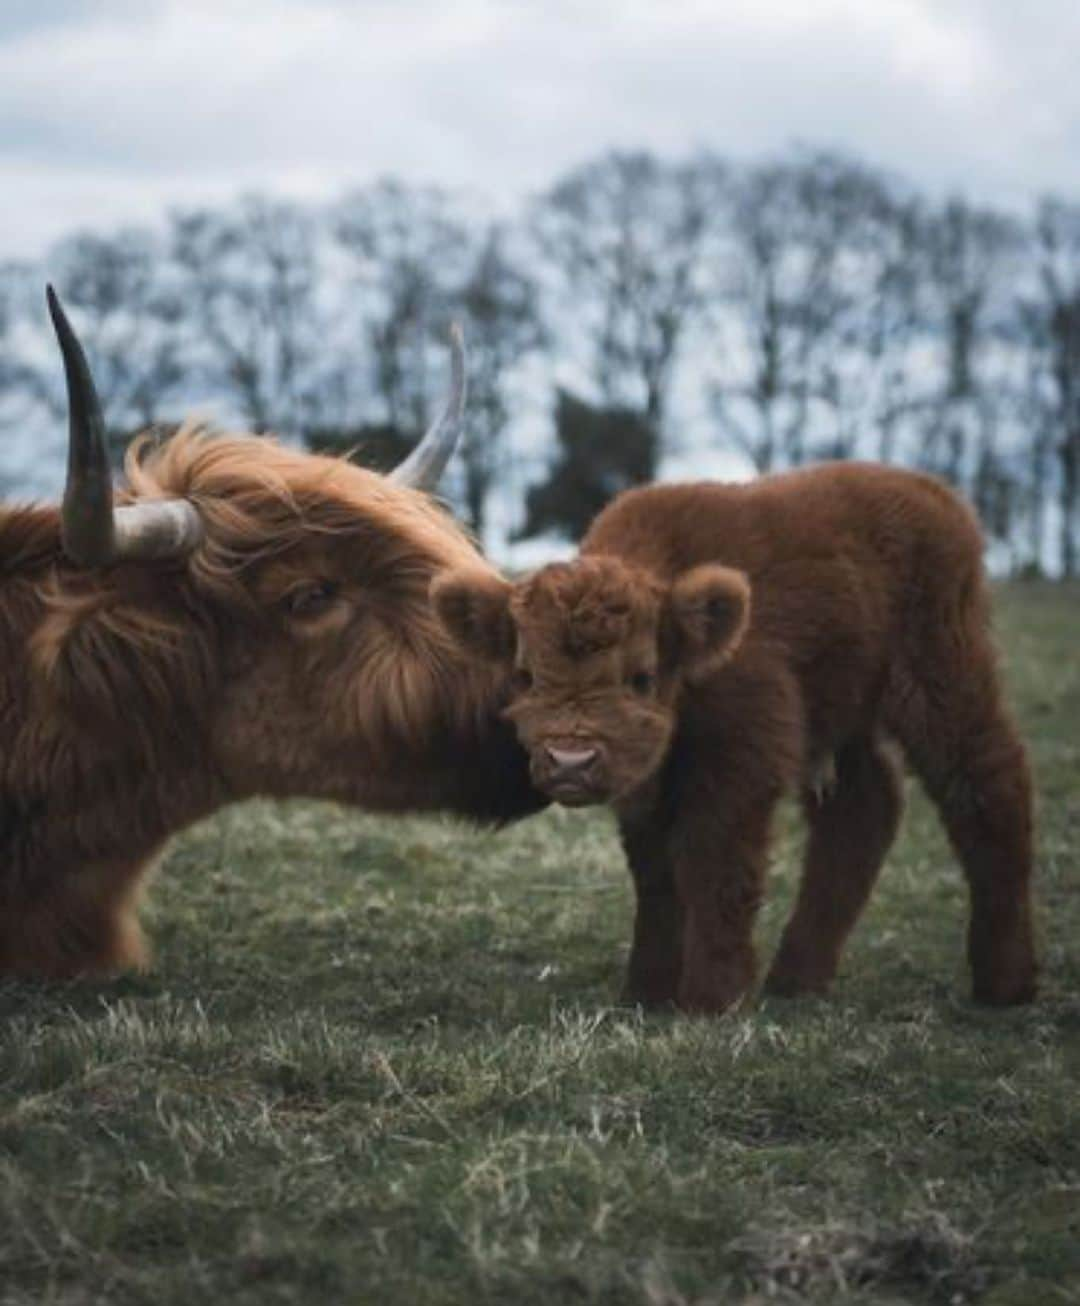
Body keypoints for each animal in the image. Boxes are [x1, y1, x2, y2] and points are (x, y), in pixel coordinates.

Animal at [436, 464, 1044, 1013]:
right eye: (525, 675)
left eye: (641, 676)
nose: (570, 759)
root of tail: (931, 491)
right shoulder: (651, 788)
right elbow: (657, 879)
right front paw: (647, 993)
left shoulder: (738, 766)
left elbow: (716, 868)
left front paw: (711, 998)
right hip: (845, 715)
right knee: (863, 811)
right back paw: (797, 979)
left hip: (943, 678)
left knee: (988, 788)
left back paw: (1005, 983)